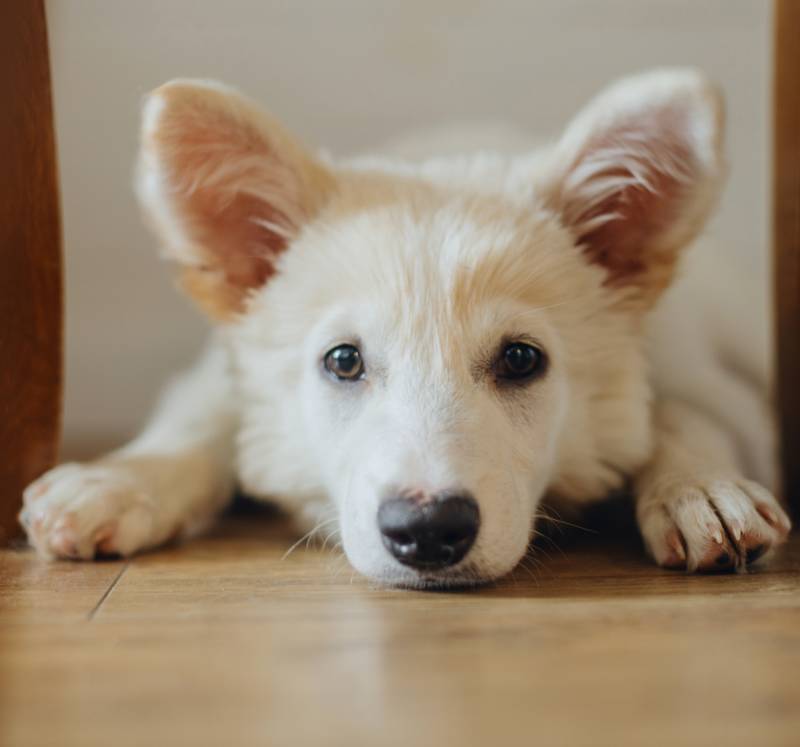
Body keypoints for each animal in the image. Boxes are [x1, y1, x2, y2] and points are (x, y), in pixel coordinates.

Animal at [21, 70, 792, 588]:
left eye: (521, 359)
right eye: (343, 360)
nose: (427, 532)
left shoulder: (705, 378)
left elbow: (681, 417)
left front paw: (702, 491)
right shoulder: (221, 367)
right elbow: (202, 421)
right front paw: (116, 482)